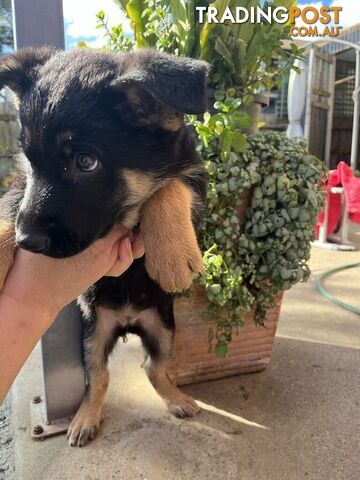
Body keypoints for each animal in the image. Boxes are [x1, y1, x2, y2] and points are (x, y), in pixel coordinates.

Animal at [0, 47, 208, 446]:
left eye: (85, 161)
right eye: (29, 160)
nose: (28, 242)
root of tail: (127, 321)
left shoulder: (197, 178)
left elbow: (169, 187)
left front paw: (172, 255)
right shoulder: (20, 186)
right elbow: (10, 205)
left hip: (164, 327)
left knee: (152, 366)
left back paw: (176, 399)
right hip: (93, 332)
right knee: (99, 376)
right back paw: (84, 418)